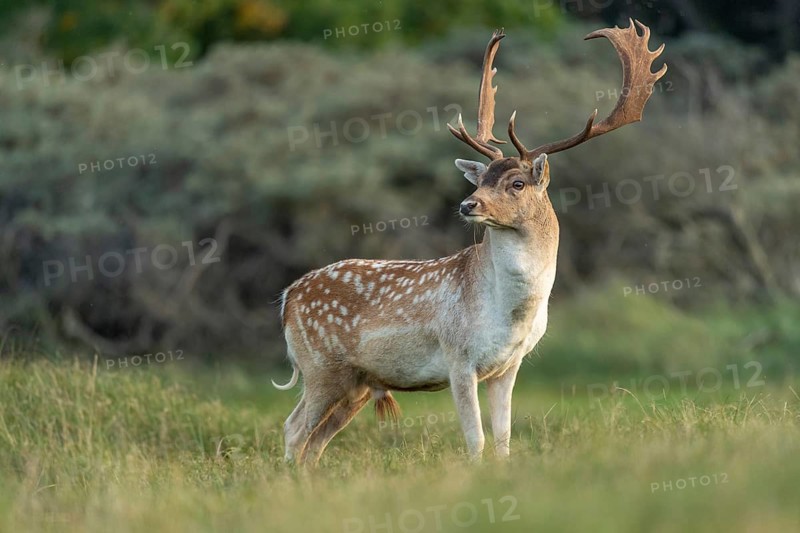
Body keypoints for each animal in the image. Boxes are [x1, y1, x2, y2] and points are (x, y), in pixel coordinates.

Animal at [272, 19, 666, 465]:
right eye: (480, 180)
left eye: (516, 183)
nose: (467, 204)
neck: (510, 314)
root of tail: (288, 297)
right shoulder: (457, 356)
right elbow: (475, 440)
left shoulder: (508, 367)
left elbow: (503, 438)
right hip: (321, 366)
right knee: (293, 430)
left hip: (355, 383)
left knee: (315, 442)